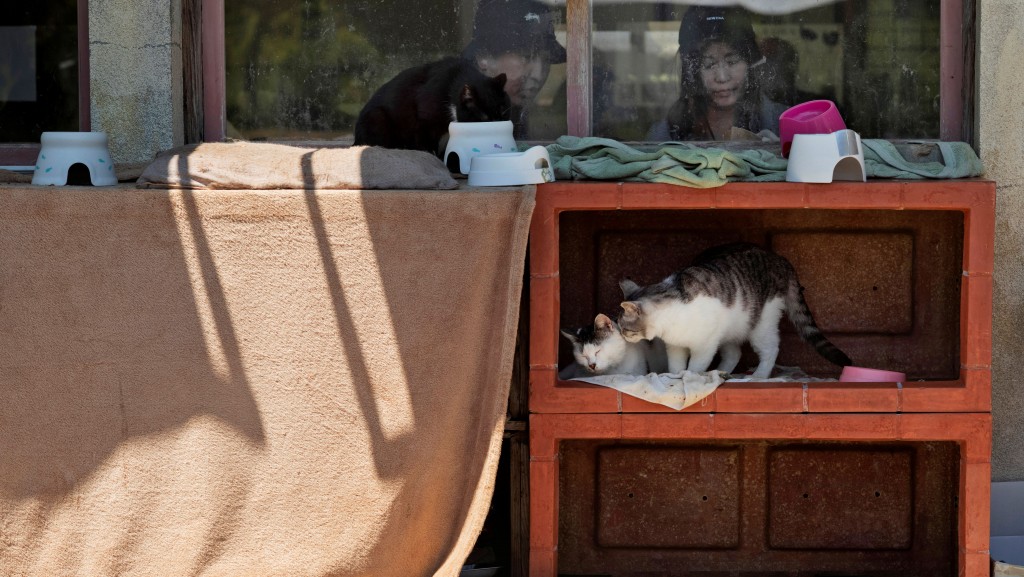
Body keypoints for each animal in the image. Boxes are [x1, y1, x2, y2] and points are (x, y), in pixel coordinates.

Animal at [354, 56, 509, 154]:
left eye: (502, 111)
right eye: (483, 117)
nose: (498, 124)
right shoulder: (424, 118)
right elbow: (425, 140)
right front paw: (431, 156)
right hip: (376, 116)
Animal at [618, 242, 851, 379]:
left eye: (625, 328)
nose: (622, 336)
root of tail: (781, 260)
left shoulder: (705, 345)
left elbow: (696, 366)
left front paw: (691, 377)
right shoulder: (675, 346)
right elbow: (676, 365)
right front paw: (675, 377)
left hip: (761, 324)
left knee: (770, 349)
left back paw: (758, 376)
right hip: (730, 330)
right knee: (734, 353)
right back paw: (723, 373)